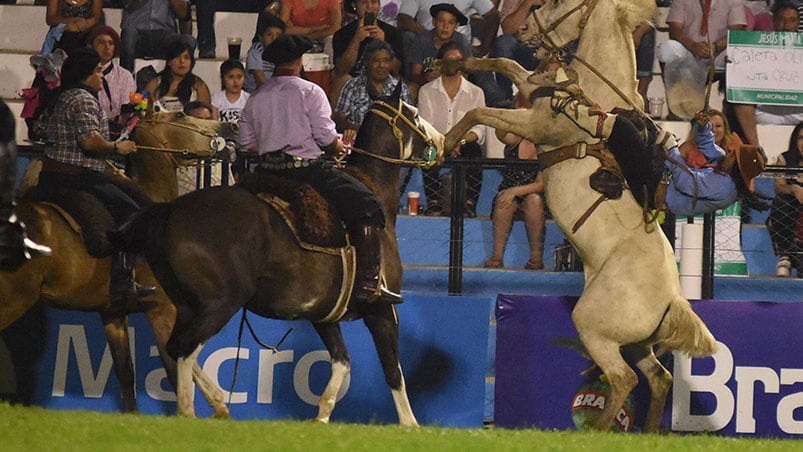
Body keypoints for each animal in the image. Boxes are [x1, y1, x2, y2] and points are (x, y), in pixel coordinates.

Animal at [0, 110, 237, 414]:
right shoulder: (162, 308)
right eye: (182, 114)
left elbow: (126, 374)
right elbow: (175, 365)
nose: (230, 127)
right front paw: (198, 410)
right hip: (14, 299)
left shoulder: (112, 313)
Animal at [115, 92, 446, 424]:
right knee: (185, 350)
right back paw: (189, 410)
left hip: (185, 305)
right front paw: (410, 424)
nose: (441, 141)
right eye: (415, 115)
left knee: (172, 347)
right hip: (219, 304)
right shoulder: (382, 311)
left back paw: (217, 404)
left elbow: (342, 362)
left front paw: (322, 415)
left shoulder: (323, 316)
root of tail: (170, 211)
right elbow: (393, 372)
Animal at [446, 0, 716, 430]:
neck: (594, 96)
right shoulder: (532, 92)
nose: (525, 28)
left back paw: (600, 430)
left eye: (558, 4)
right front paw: (457, 62)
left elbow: (480, 112)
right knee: (658, 377)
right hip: (637, 343)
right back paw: (646, 432)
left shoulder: (537, 125)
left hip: (594, 328)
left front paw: (445, 142)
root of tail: (674, 298)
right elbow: (508, 65)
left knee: (623, 378)